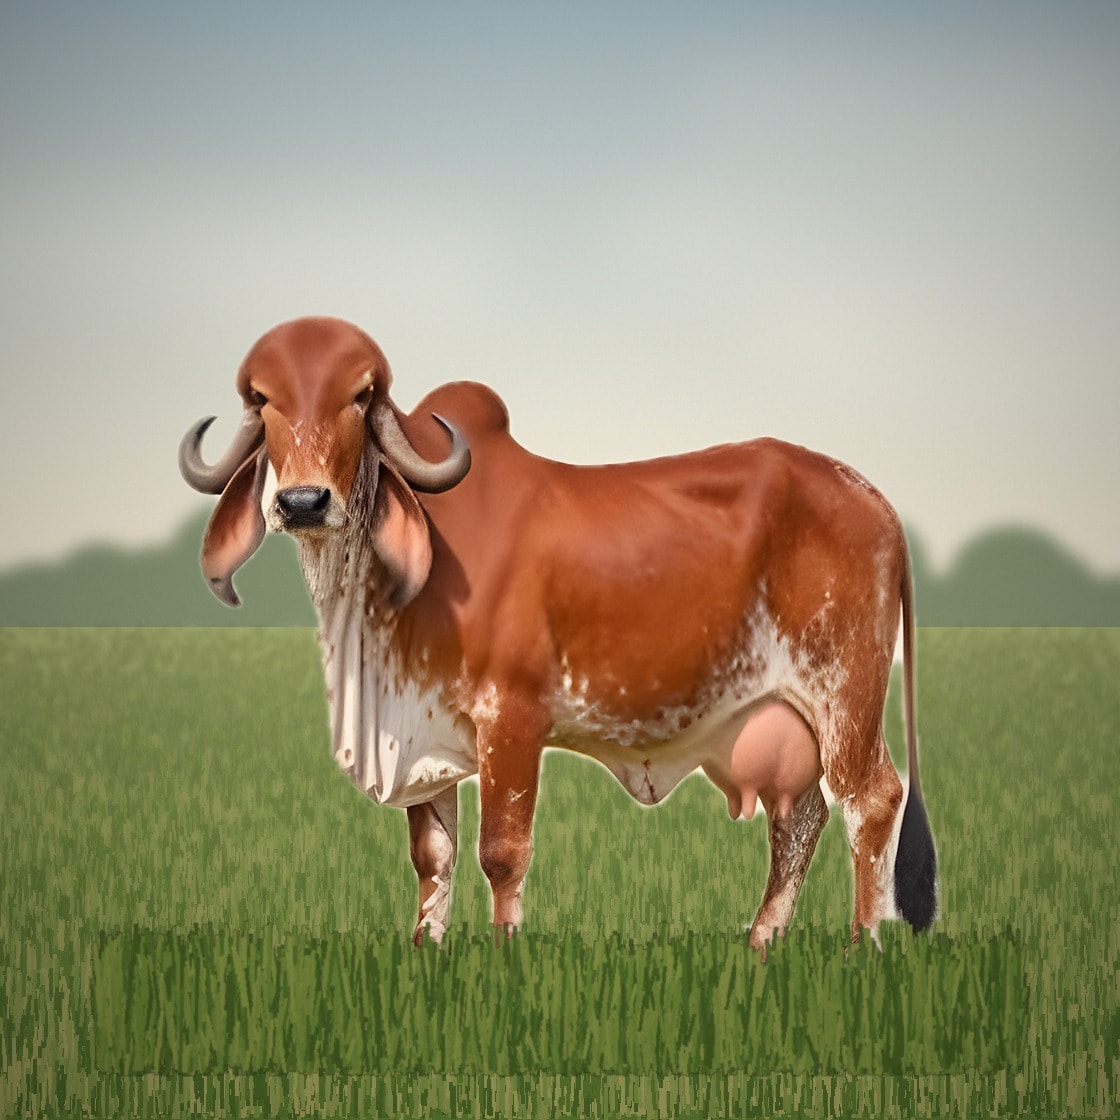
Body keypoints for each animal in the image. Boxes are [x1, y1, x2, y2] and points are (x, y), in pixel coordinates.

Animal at [179, 315, 937, 951]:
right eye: (263, 397)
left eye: (361, 395)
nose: (303, 501)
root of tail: (874, 498)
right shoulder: (423, 733)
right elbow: (433, 855)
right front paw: (427, 952)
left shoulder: (512, 718)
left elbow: (501, 851)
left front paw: (505, 955)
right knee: (800, 818)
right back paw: (762, 941)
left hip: (845, 694)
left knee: (870, 801)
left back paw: (863, 945)